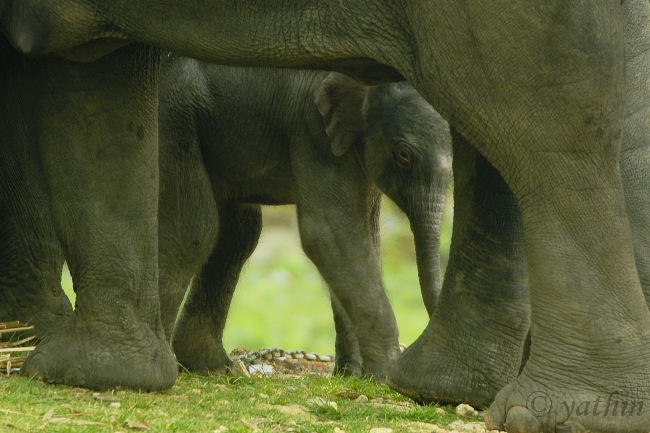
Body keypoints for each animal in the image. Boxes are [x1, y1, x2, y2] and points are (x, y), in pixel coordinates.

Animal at [157, 56, 450, 374]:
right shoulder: (313, 131)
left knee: (239, 232)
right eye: (403, 155)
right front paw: (384, 374)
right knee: (195, 227)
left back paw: (216, 367)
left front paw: (353, 374)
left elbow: (363, 238)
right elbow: (329, 233)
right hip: (174, 115)